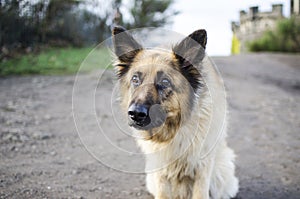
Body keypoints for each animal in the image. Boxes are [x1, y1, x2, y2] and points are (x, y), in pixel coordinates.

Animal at [111, 26, 238, 199]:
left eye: (165, 82)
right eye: (135, 79)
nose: (135, 114)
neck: (173, 130)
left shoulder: (202, 165)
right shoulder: (160, 167)